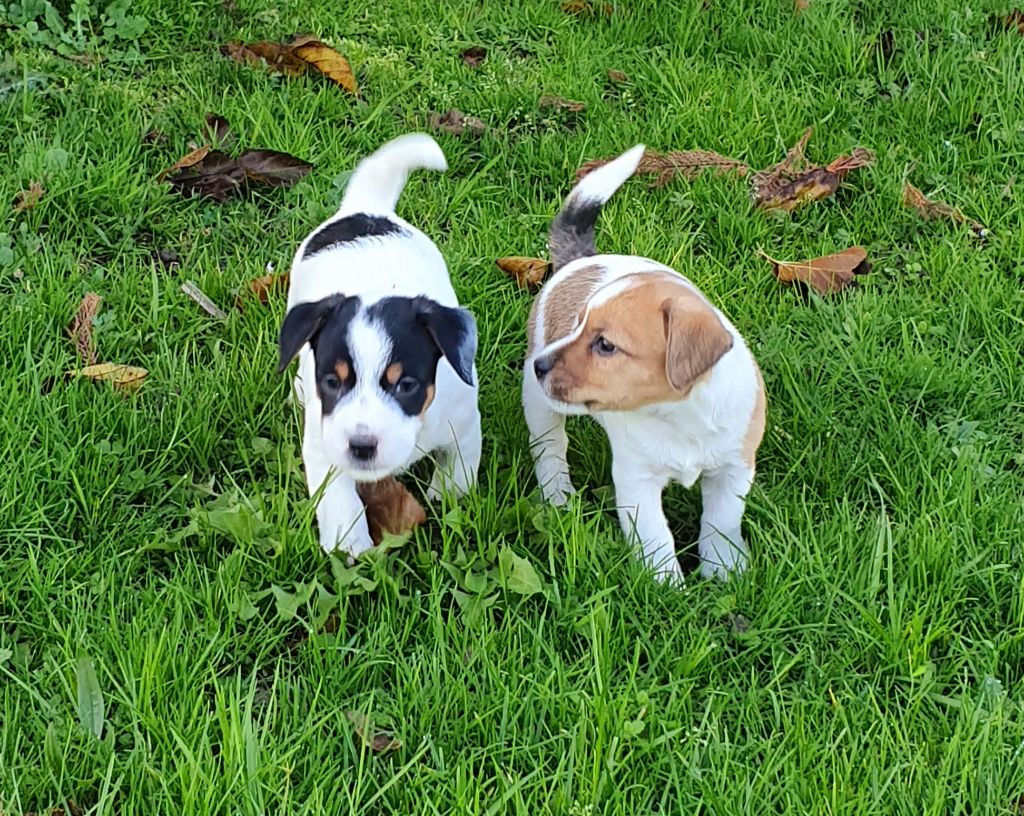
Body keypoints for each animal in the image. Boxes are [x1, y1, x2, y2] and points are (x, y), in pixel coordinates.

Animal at [274, 134, 477, 561]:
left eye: (406, 385)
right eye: (332, 382)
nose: (362, 447)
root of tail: (365, 209)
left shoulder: (464, 425)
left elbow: (459, 471)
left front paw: (446, 498)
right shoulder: (324, 444)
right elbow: (338, 496)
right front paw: (348, 542)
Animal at [524, 144, 765, 577]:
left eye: (605, 345)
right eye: (578, 324)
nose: (540, 366)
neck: (679, 416)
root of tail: (579, 261)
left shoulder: (733, 470)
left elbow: (721, 523)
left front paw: (724, 571)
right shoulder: (637, 479)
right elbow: (656, 538)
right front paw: (666, 583)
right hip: (539, 405)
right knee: (550, 448)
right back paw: (558, 495)